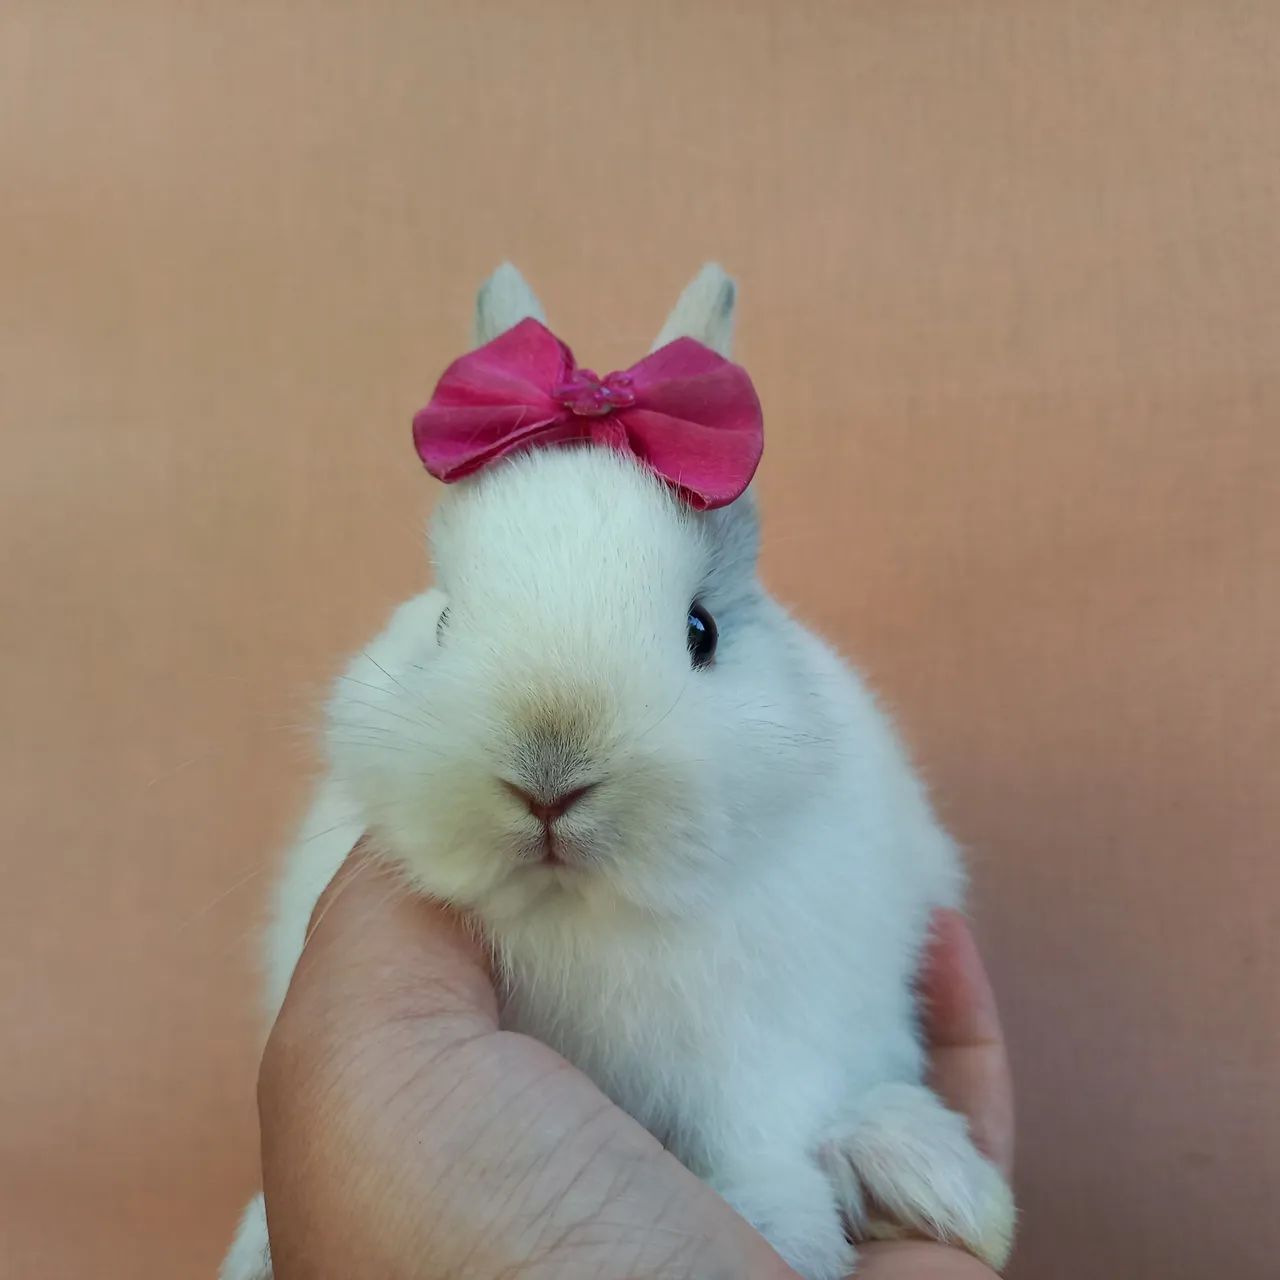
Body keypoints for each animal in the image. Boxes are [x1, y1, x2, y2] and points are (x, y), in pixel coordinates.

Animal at [221, 264, 1015, 1280]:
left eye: (701, 631)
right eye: (443, 620)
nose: (548, 779)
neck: (584, 910)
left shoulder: (770, 1045)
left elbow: (766, 1136)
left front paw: (778, 1231)